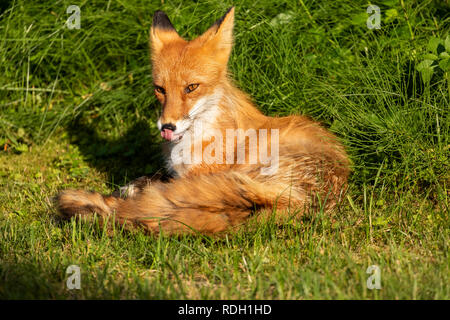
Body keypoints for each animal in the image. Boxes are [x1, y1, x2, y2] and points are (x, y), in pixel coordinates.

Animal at [57, 6, 352, 232]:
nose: (167, 126)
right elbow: (149, 179)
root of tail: (300, 198)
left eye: (191, 87)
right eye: (160, 89)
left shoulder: (198, 175)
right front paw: (132, 187)